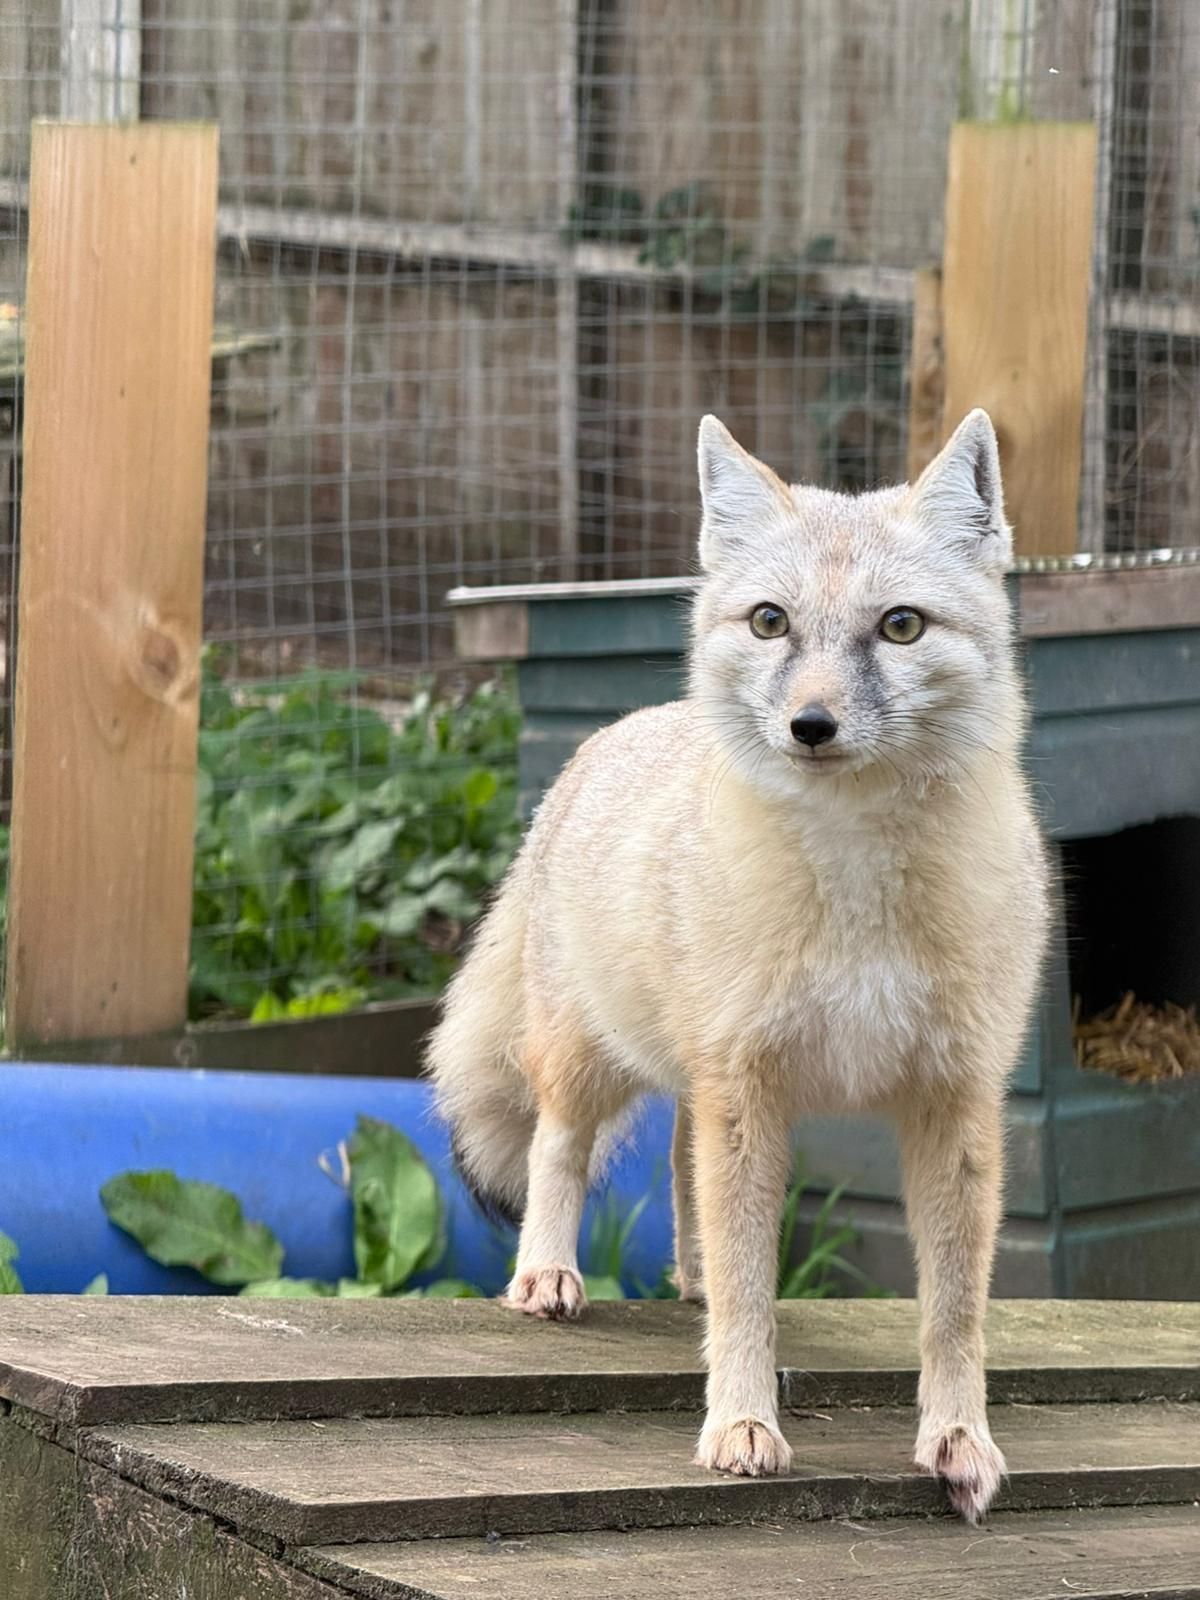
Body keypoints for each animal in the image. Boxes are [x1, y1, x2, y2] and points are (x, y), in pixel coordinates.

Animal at [427, 407, 1049, 1523]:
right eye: (769, 622)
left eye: (901, 627)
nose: (811, 725)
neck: (856, 902)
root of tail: (613, 736)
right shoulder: (748, 1089)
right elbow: (755, 1288)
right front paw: (743, 1425)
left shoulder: (955, 1099)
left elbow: (953, 1308)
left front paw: (957, 1439)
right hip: (597, 1064)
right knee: (556, 1147)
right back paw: (547, 1274)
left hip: (699, 1083)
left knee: (681, 1166)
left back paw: (690, 1275)